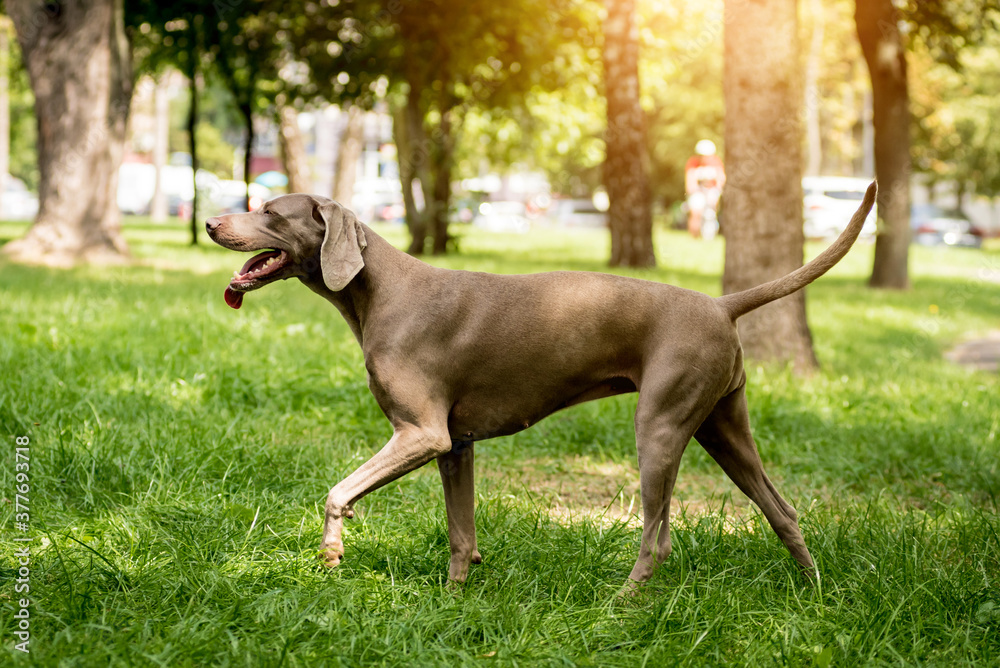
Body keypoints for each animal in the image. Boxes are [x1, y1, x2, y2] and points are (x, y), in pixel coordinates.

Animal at [205, 183, 876, 584]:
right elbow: (460, 532)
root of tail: (720, 303)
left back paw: (621, 608)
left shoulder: (422, 434)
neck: (380, 289)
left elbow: (337, 491)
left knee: (658, 538)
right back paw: (814, 593)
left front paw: (331, 553)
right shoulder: (455, 445)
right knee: (783, 511)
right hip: (723, 427)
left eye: (271, 213)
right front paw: (453, 597)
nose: (210, 223)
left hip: (660, 426)